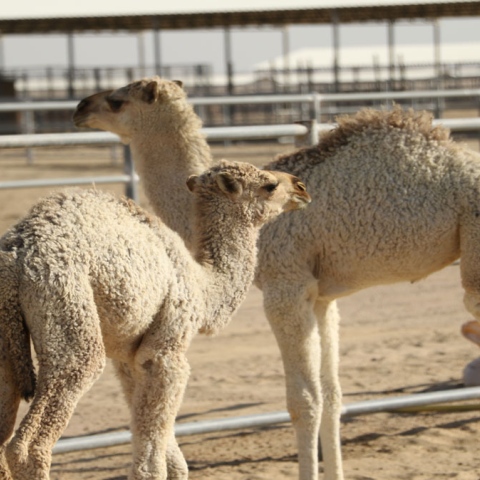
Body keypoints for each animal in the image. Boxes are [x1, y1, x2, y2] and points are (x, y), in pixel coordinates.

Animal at [0, 159, 312, 478]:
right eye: (269, 185)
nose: (301, 187)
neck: (202, 285)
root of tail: (16, 256)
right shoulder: (166, 349)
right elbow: (153, 457)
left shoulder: (129, 356)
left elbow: (163, 440)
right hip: (67, 310)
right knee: (30, 442)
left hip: (9, 345)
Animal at [73, 77, 480, 478]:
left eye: (116, 100)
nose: (79, 108)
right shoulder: (321, 297)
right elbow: (332, 395)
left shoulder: (284, 285)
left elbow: (304, 401)